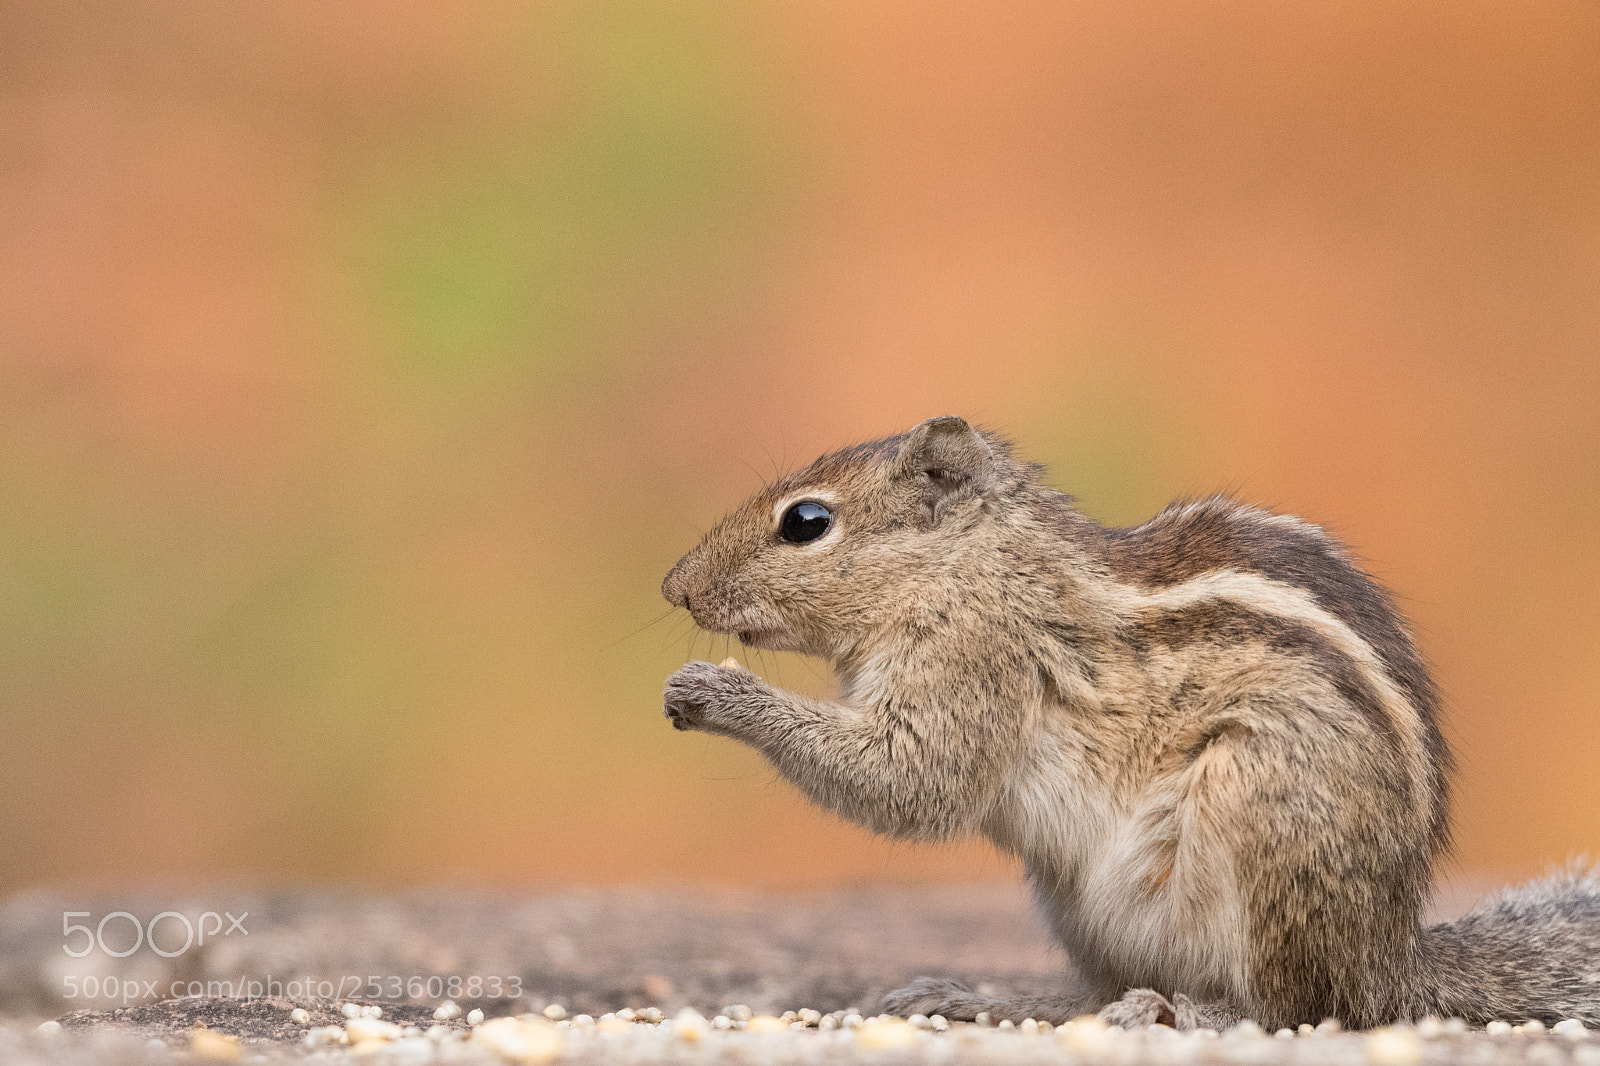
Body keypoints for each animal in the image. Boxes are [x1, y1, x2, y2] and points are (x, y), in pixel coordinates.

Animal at [660, 416, 1600, 1031]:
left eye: (806, 522)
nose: (674, 587)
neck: (969, 569)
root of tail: (1390, 961)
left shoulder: (975, 666)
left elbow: (910, 780)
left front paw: (712, 692)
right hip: (1078, 900)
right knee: (1104, 991)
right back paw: (989, 1000)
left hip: (1257, 814)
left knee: (1304, 1010)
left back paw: (1186, 1012)